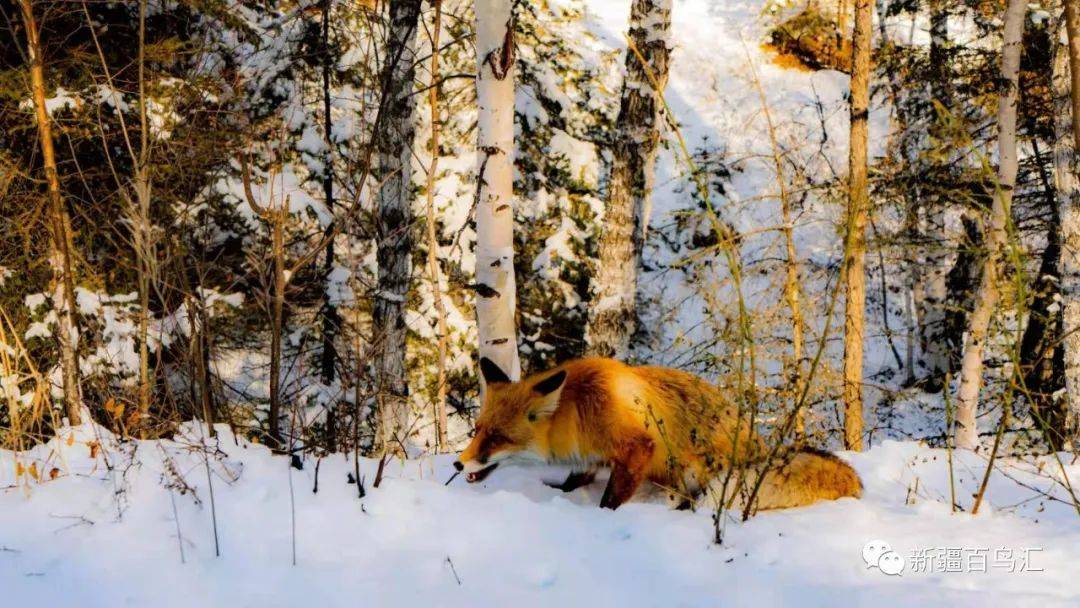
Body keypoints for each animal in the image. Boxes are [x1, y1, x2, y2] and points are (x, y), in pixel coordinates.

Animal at [453, 358, 859, 511]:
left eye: (498, 437)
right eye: (478, 430)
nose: (458, 464)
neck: (580, 408)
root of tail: (760, 449)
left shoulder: (637, 447)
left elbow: (611, 499)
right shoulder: (592, 457)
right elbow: (575, 480)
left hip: (698, 472)